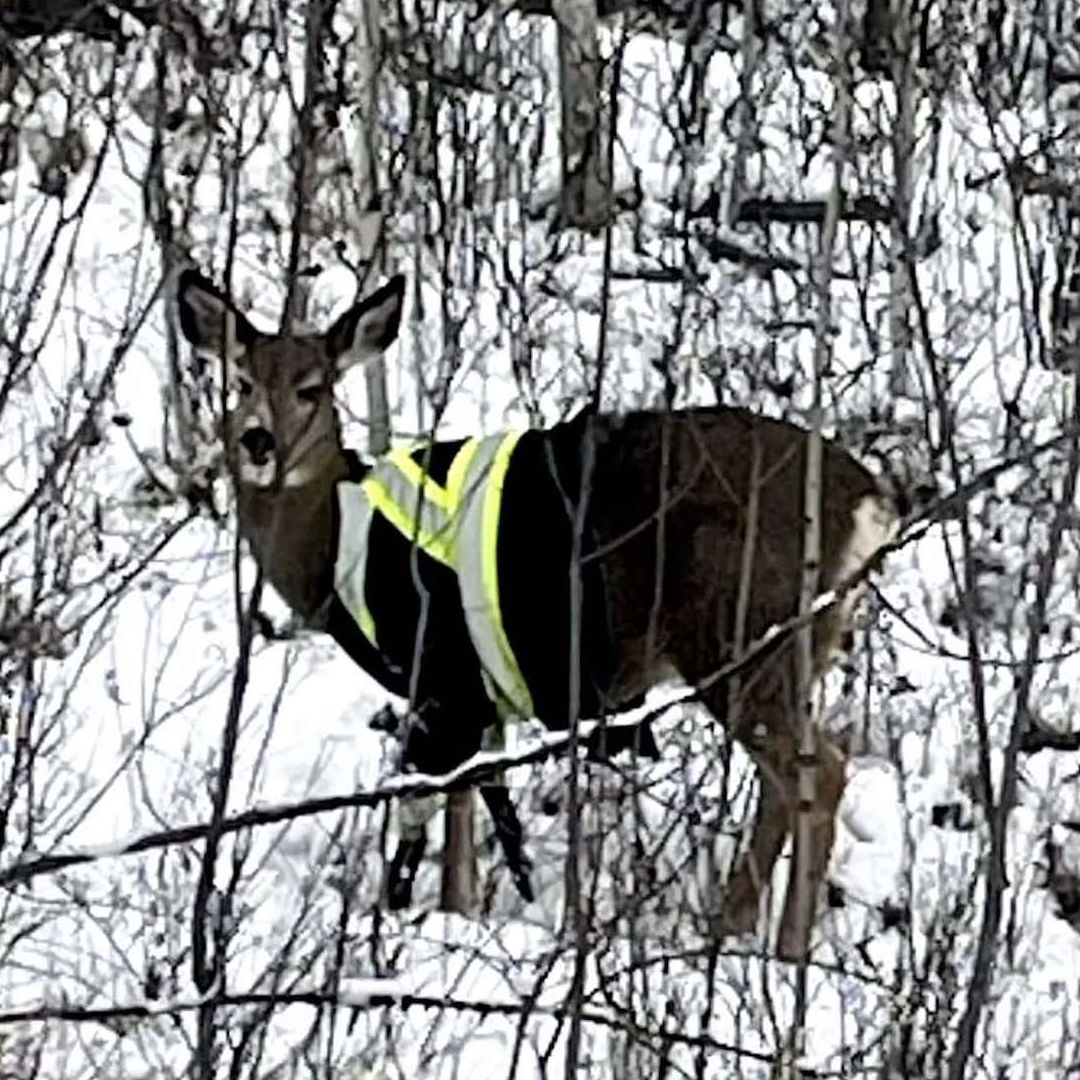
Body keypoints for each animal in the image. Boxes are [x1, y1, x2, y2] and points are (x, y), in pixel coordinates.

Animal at [175, 268, 898, 960]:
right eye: (241, 380)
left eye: (312, 389)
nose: (258, 441)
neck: (334, 543)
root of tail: (868, 504)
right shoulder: (474, 689)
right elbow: (477, 793)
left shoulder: (441, 670)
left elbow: (452, 798)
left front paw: (448, 915)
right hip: (785, 647)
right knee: (788, 781)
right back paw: (732, 928)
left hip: (742, 632)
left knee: (819, 772)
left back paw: (783, 952)